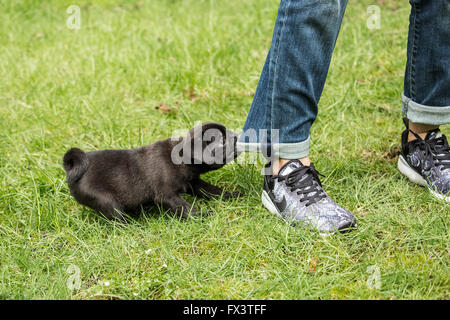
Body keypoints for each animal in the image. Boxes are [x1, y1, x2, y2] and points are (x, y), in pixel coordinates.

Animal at [63, 122, 241, 222]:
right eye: (222, 140)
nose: (236, 135)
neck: (181, 157)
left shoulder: (194, 182)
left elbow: (212, 190)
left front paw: (231, 196)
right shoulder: (167, 195)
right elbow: (184, 208)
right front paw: (201, 216)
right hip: (107, 201)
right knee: (116, 217)